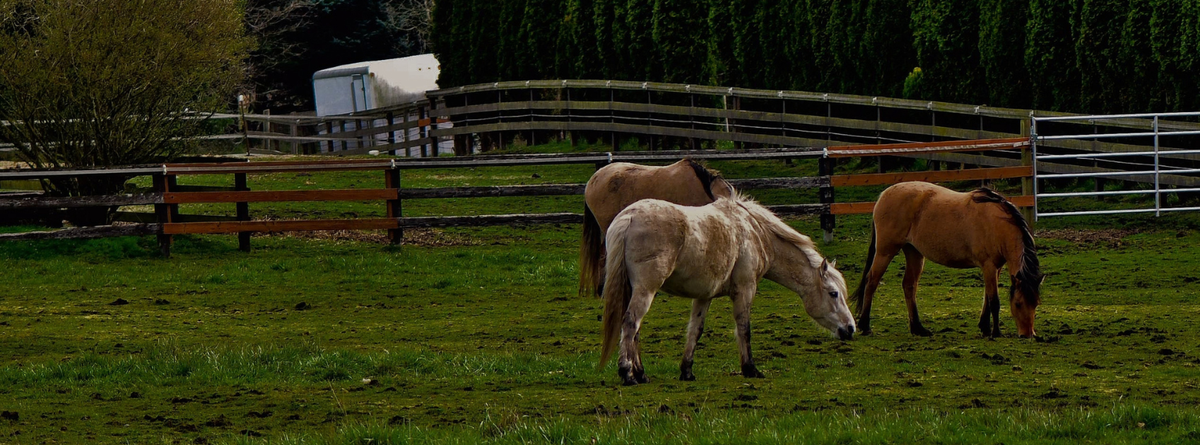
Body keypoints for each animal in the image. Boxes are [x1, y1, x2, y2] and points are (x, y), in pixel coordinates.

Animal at [599, 192, 856, 385]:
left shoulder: (703, 296)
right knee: (630, 323)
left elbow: (695, 330)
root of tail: (630, 216)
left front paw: (687, 371)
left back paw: (641, 374)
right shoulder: (745, 289)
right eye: (833, 294)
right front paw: (750, 369)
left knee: (635, 330)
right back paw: (628, 374)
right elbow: (744, 328)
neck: (755, 232)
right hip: (646, 290)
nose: (851, 328)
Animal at [849, 182, 1045, 338]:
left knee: (909, 286)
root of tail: (884, 194)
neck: (996, 222)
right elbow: (994, 301)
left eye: (1036, 303)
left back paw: (918, 328)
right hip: (885, 251)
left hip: (914, 253)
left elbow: (986, 299)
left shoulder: (995, 268)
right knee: (871, 281)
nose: (1028, 334)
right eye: (1018, 304)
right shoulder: (988, 266)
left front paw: (984, 327)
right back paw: (865, 325)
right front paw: (995, 332)